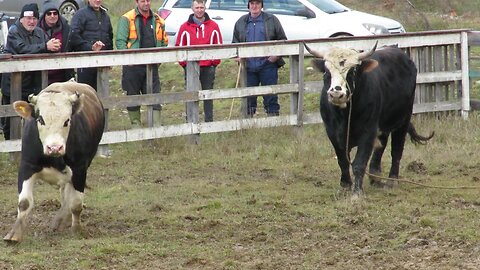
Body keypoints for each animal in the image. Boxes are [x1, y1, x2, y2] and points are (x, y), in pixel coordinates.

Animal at [3, 80, 104, 243]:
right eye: (40, 119)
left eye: (67, 120)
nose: (54, 147)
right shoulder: (27, 166)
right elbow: (24, 202)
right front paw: (14, 234)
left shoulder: (80, 169)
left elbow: (76, 203)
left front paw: (76, 230)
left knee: (69, 197)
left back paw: (62, 219)